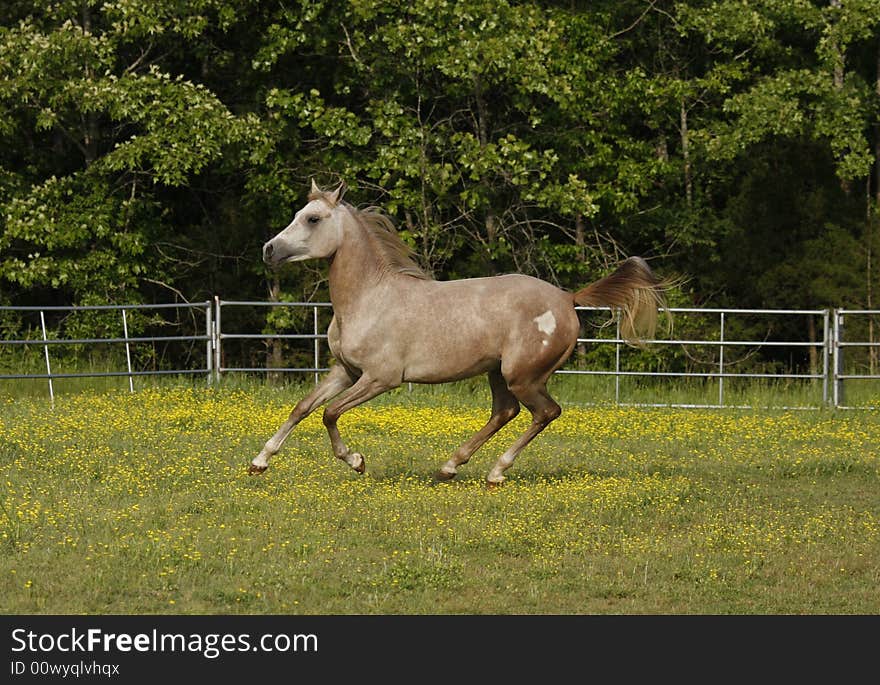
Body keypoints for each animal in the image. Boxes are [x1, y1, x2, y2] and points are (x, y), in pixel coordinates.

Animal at [251, 179, 664, 484]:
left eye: (313, 219)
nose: (268, 249)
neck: (370, 298)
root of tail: (567, 298)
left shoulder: (381, 378)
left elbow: (330, 413)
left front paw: (355, 460)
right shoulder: (346, 371)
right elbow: (304, 407)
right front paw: (259, 461)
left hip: (522, 375)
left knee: (545, 412)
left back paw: (496, 472)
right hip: (498, 372)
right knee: (505, 412)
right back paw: (450, 466)